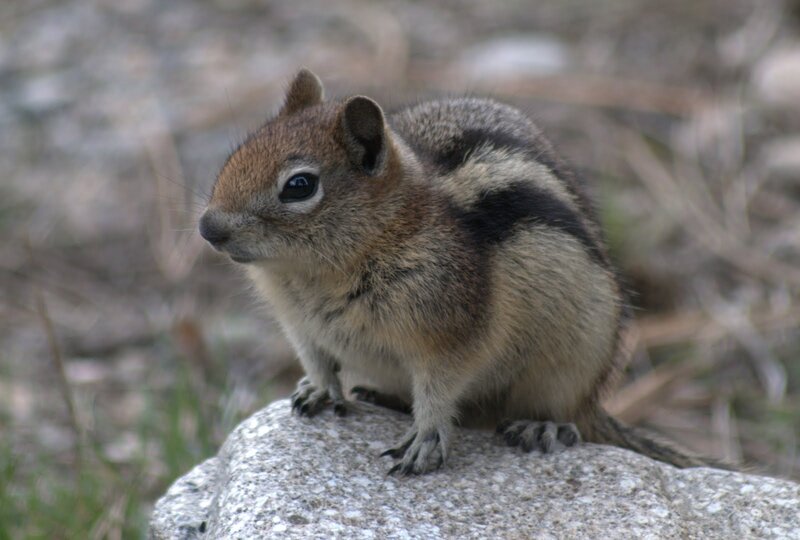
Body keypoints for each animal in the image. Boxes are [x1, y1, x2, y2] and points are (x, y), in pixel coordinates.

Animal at [199, 68, 731, 475]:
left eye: (300, 186)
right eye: (238, 153)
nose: (208, 228)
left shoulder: (451, 334)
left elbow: (440, 389)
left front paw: (426, 439)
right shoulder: (299, 326)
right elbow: (317, 360)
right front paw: (318, 389)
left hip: (572, 363)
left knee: (567, 417)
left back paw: (543, 425)